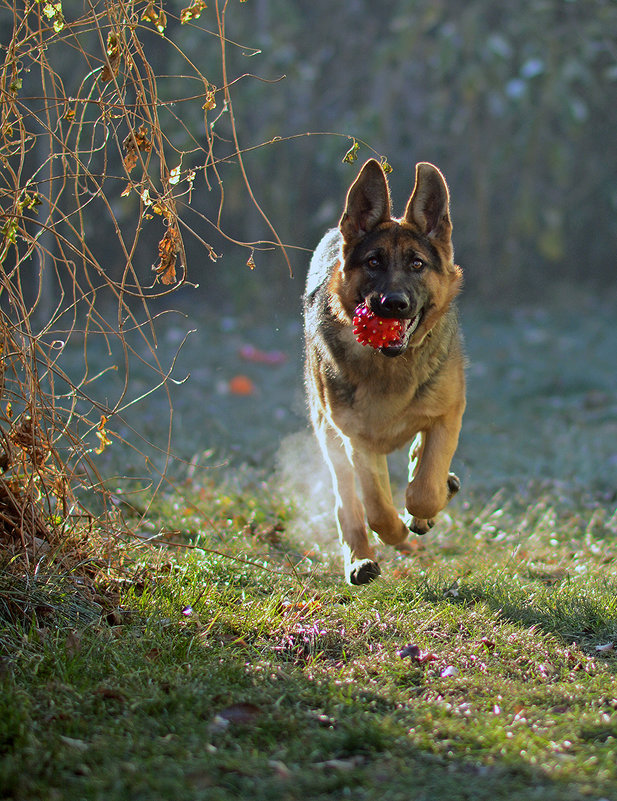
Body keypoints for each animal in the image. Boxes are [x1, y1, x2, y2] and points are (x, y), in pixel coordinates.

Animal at [300, 159, 464, 584]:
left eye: (417, 264)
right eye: (373, 261)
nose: (394, 304)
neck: (390, 366)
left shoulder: (448, 413)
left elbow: (424, 489)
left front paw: (425, 506)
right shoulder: (358, 439)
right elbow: (376, 508)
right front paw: (394, 530)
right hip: (330, 438)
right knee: (348, 505)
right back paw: (360, 559)